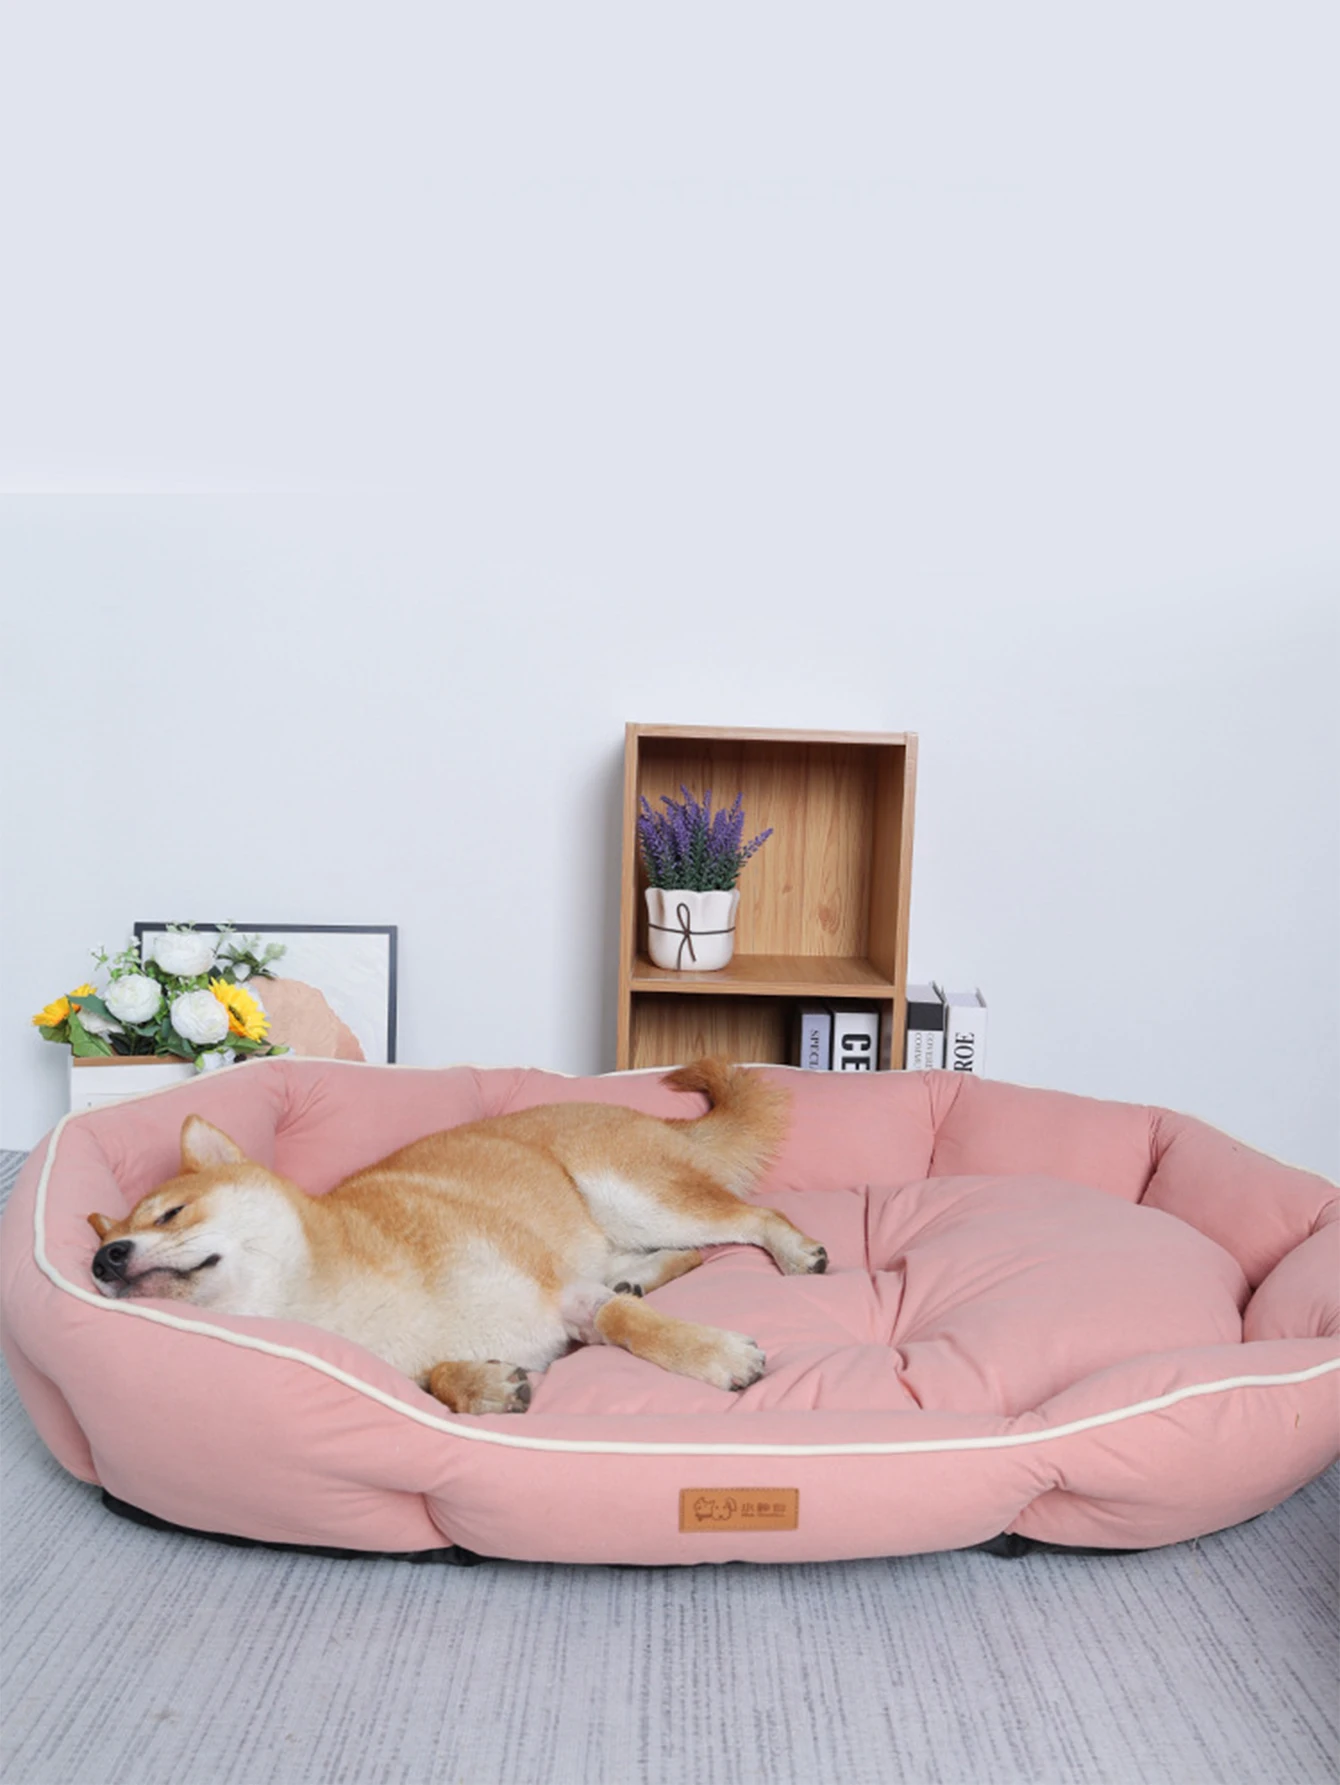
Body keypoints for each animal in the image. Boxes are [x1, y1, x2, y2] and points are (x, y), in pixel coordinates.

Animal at [85, 1059, 826, 1413]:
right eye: (112, 1243)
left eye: (169, 1213)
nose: (104, 1257)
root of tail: (650, 1117)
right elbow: (437, 1379)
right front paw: (484, 1385)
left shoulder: (565, 1292)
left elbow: (630, 1324)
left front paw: (715, 1354)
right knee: (677, 1258)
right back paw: (639, 1276)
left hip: (633, 1197)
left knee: (749, 1220)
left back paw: (793, 1250)